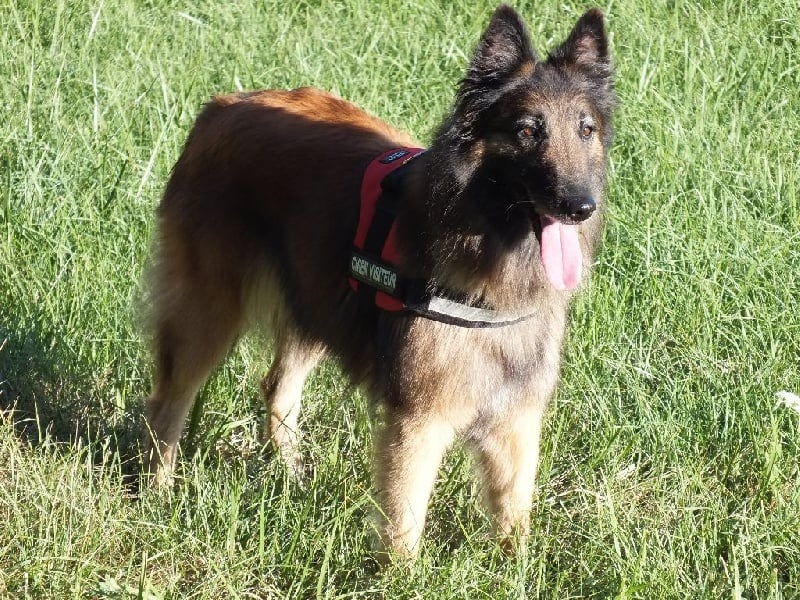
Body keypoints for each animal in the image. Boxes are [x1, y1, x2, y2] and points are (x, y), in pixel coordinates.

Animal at [144, 4, 616, 560]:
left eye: (585, 129)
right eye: (527, 131)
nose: (580, 205)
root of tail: (222, 106)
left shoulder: (516, 416)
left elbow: (513, 512)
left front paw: (517, 568)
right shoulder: (418, 420)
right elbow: (403, 521)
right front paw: (400, 573)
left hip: (315, 300)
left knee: (278, 388)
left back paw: (289, 478)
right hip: (208, 314)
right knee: (168, 404)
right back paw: (157, 495)